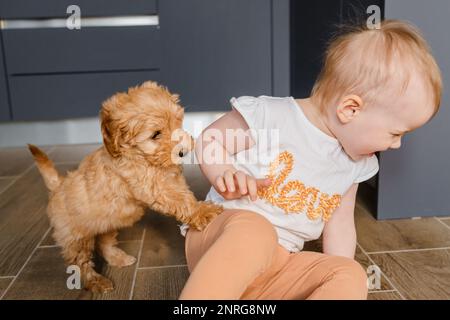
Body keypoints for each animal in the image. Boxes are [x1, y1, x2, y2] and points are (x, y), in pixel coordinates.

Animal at [28, 81, 223, 294]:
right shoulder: (152, 186)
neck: (137, 154)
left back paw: (118, 258)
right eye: (155, 134)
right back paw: (96, 281)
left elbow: (182, 190)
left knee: (104, 243)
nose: (183, 151)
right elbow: (180, 199)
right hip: (75, 236)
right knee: (81, 262)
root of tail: (58, 186)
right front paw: (203, 211)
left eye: (178, 121)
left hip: (107, 223)